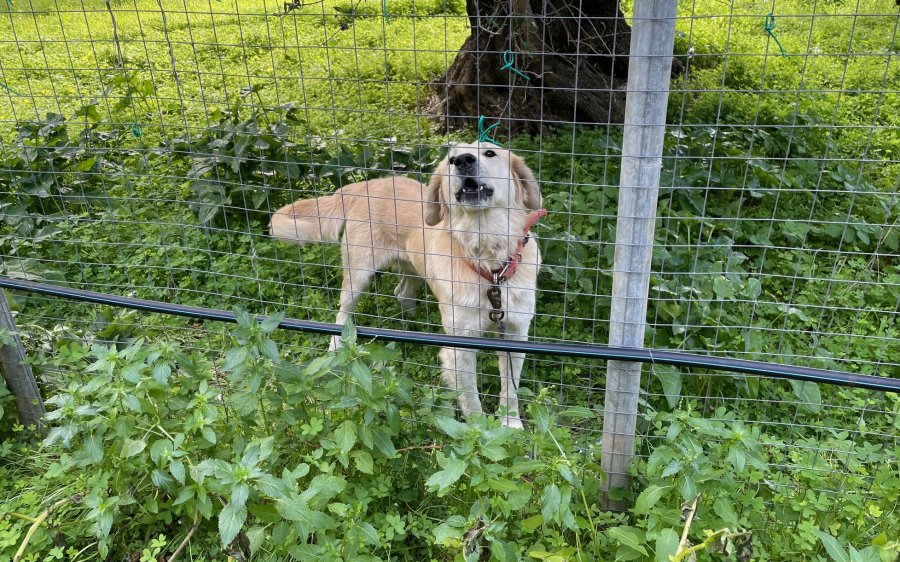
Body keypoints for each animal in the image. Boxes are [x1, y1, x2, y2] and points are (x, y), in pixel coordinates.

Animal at [270, 142, 544, 426]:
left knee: (401, 292)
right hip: (358, 275)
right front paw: (481, 432)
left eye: (490, 153)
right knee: (343, 312)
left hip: (413, 268)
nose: (463, 161)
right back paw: (337, 349)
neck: (490, 262)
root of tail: (366, 184)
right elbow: (471, 401)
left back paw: (412, 324)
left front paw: (512, 425)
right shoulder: (461, 347)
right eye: (450, 159)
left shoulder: (514, 334)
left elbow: (510, 389)